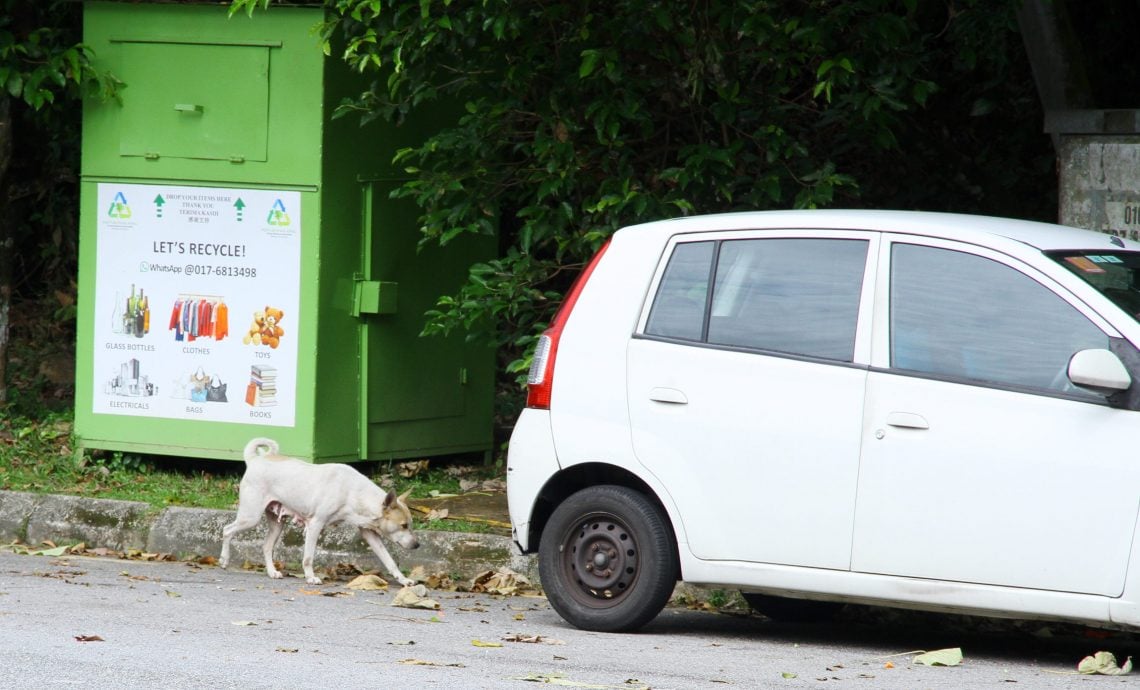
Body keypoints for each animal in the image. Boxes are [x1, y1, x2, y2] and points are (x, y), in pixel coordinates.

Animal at [217, 437, 419, 583]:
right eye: (403, 526)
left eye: (410, 525)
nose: (417, 545)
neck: (353, 492)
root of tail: (254, 460)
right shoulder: (315, 524)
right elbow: (308, 557)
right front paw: (310, 577)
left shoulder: (370, 533)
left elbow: (389, 560)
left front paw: (403, 580)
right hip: (250, 517)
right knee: (227, 530)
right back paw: (224, 559)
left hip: (276, 523)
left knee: (266, 546)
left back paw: (272, 571)